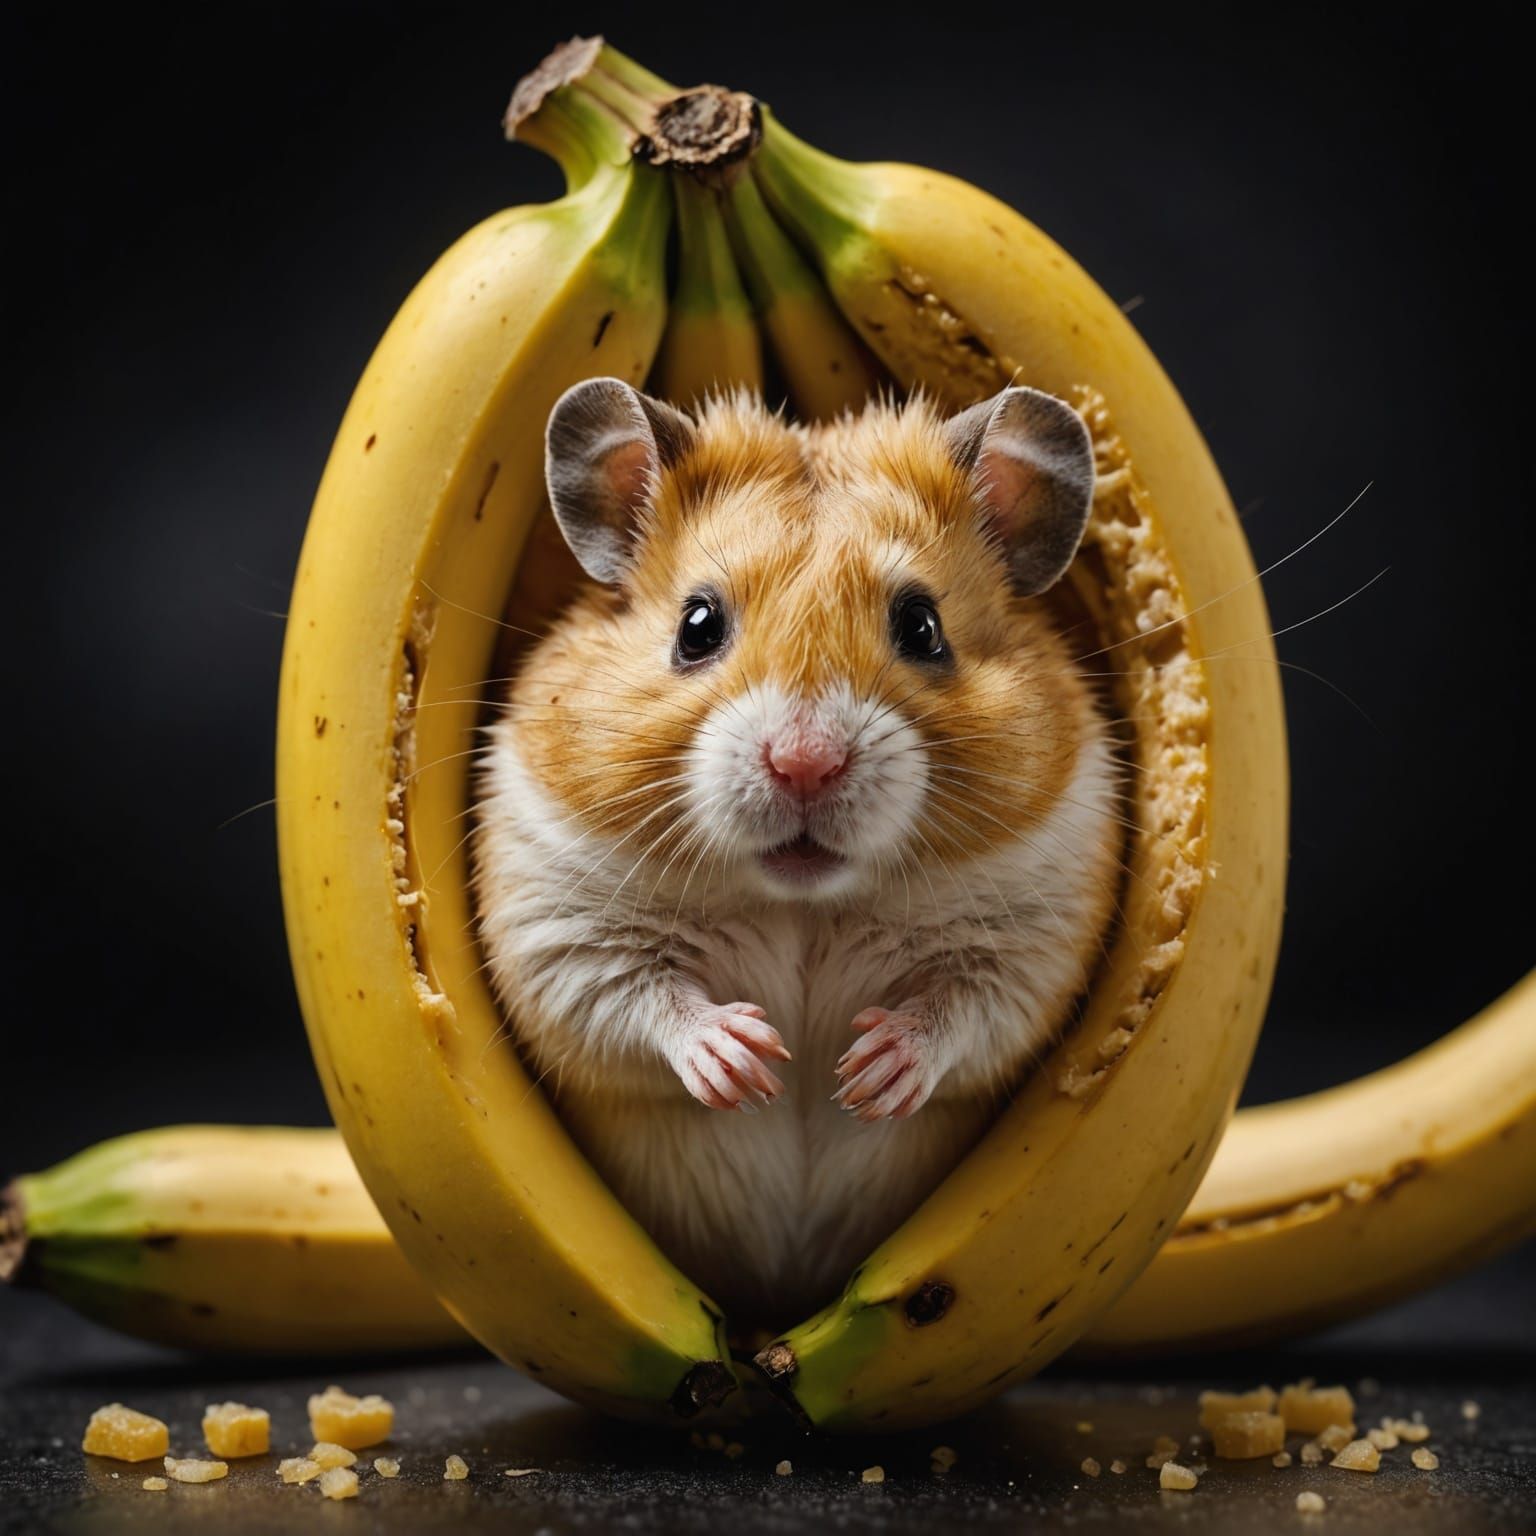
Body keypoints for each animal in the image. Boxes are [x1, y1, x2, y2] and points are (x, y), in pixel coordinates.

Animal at [472, 379, 1122, 1323]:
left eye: (922, 626)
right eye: (697, 625)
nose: (805, 764)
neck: (803, 902)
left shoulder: (1031, 942)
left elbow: (962, 1011)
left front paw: (866, 1075)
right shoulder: (558, 926)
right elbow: (638, 1000)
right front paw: (750, 1061)